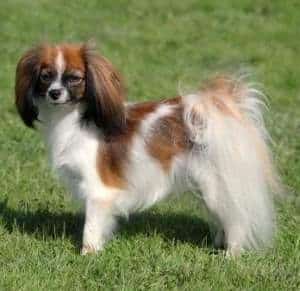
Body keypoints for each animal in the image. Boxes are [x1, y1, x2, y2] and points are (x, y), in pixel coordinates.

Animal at [14, 43, 282, 256]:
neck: (72, 120)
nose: (54, 93)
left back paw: (230, 255)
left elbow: (90, 227)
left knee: (237, 219)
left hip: (216, 186)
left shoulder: (99, 191)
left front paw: (87, 254)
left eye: (74, 78)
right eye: (46, 76)